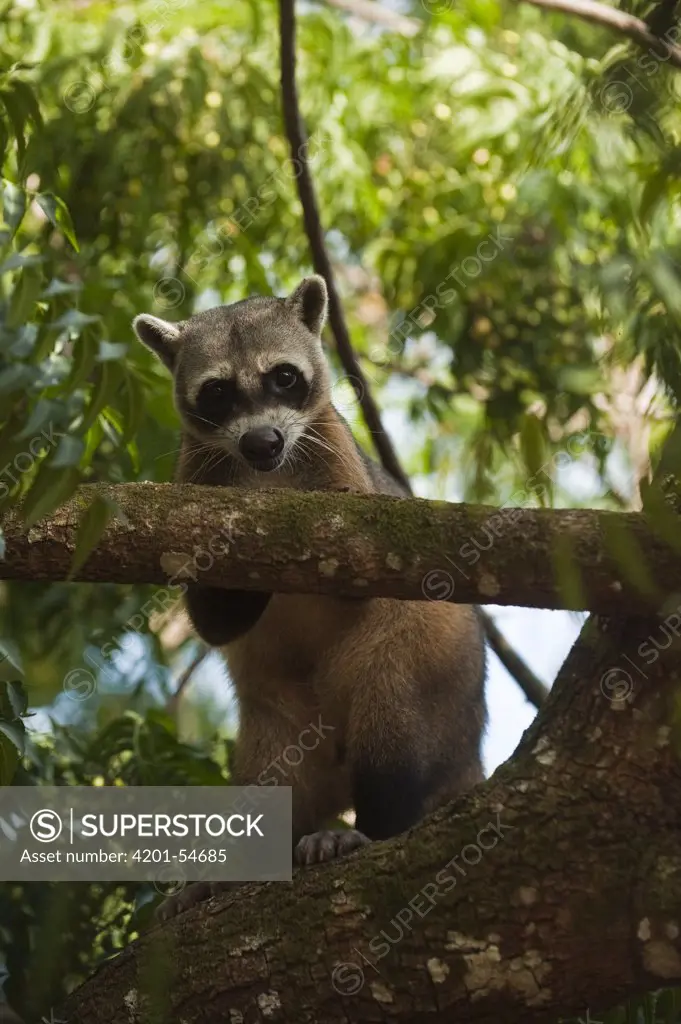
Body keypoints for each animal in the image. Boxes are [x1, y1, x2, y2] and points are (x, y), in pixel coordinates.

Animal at [133, 278, 483, 913]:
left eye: (284, 378)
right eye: (217, 392)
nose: (262, 441)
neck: (267, 476)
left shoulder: (338, 456)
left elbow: (360, 580)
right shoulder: (194, 478)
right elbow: (214, 620)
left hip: (434, 666)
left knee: (395, 726)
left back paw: (372, 826)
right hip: (276, 729)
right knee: (272, 783)